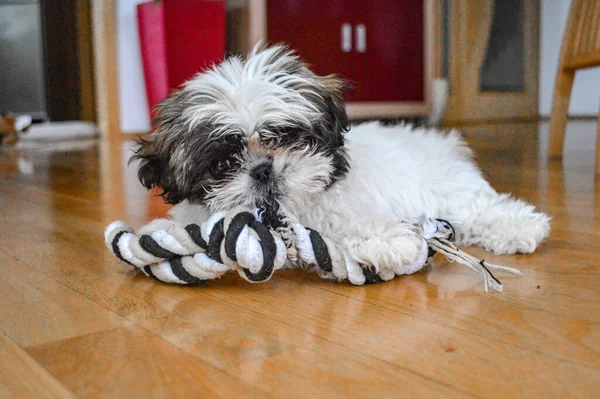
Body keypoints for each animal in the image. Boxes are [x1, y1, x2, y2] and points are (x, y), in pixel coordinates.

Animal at [134, 43, 552, 276]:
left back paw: (520, 227)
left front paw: (387, 244)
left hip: (450, 190)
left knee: (480, 208)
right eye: (223, 165)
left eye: (283, 137)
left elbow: (360, 225)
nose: (262, 169)